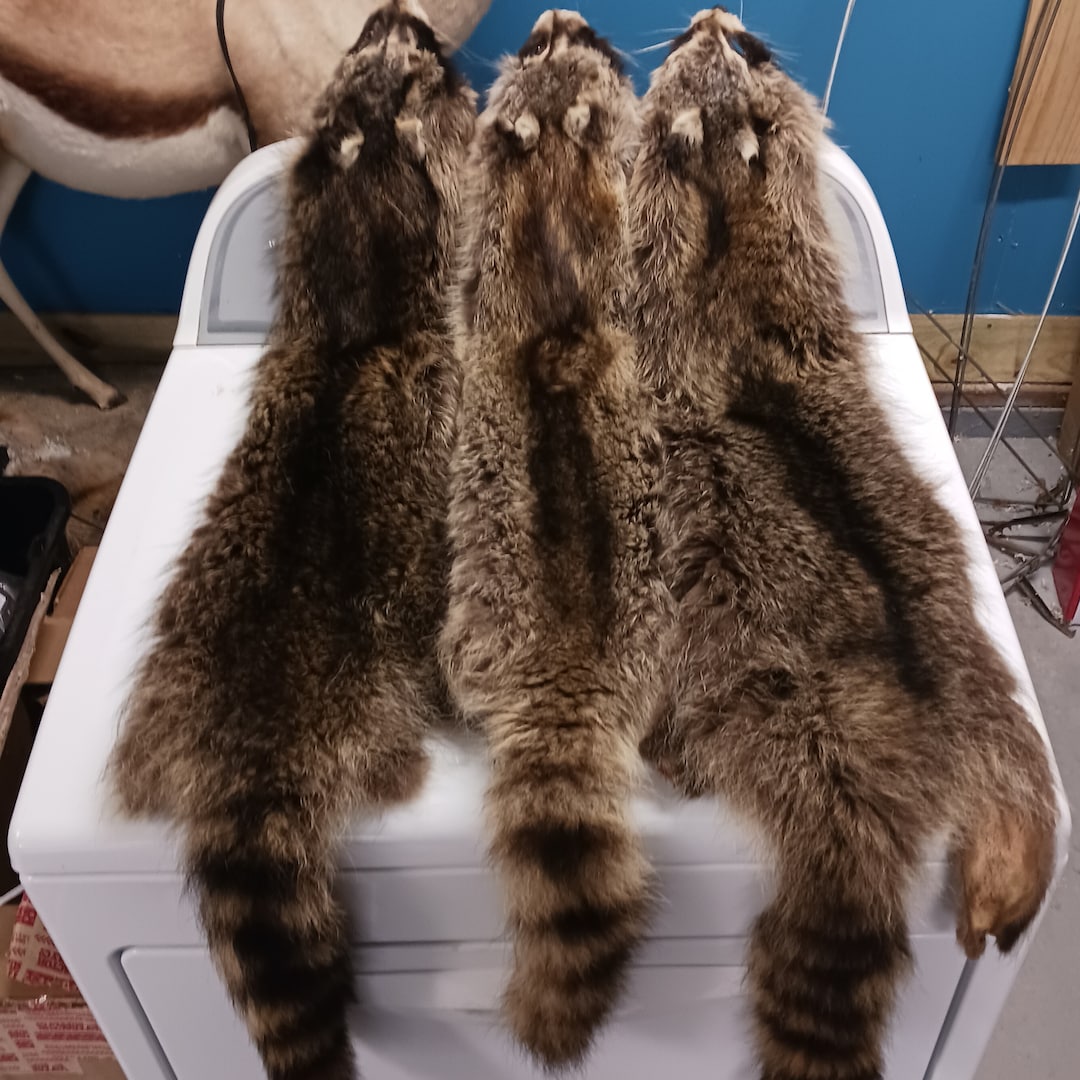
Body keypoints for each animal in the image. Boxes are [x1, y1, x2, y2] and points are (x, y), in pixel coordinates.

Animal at [108, 4, 475, 1078]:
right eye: (415, 65)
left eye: (369, 50)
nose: (401, 13)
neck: (355, 317)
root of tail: (249, 753)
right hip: (377, 714)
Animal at [631, 10, 1059, 1080]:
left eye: (740, 47)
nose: (713, 16)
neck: (728, 203)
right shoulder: (794, 258)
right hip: (986, 688)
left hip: (777, 710)